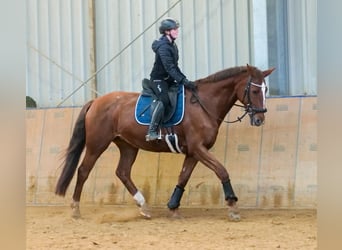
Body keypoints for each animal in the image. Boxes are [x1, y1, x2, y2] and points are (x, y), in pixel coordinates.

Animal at [55, 64, 276, 221]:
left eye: (266, 90)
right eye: (254, 91)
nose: (260, 119)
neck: (204, 104)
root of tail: (96, 101)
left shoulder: (193, 152)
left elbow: (183, 177)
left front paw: (173, 207)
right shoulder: (198, 148)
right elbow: (221, 170)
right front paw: (233, 206)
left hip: (128, 146)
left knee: (123, 172)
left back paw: (144, 207)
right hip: (97, 144)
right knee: (83, 170)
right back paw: (75, 209)